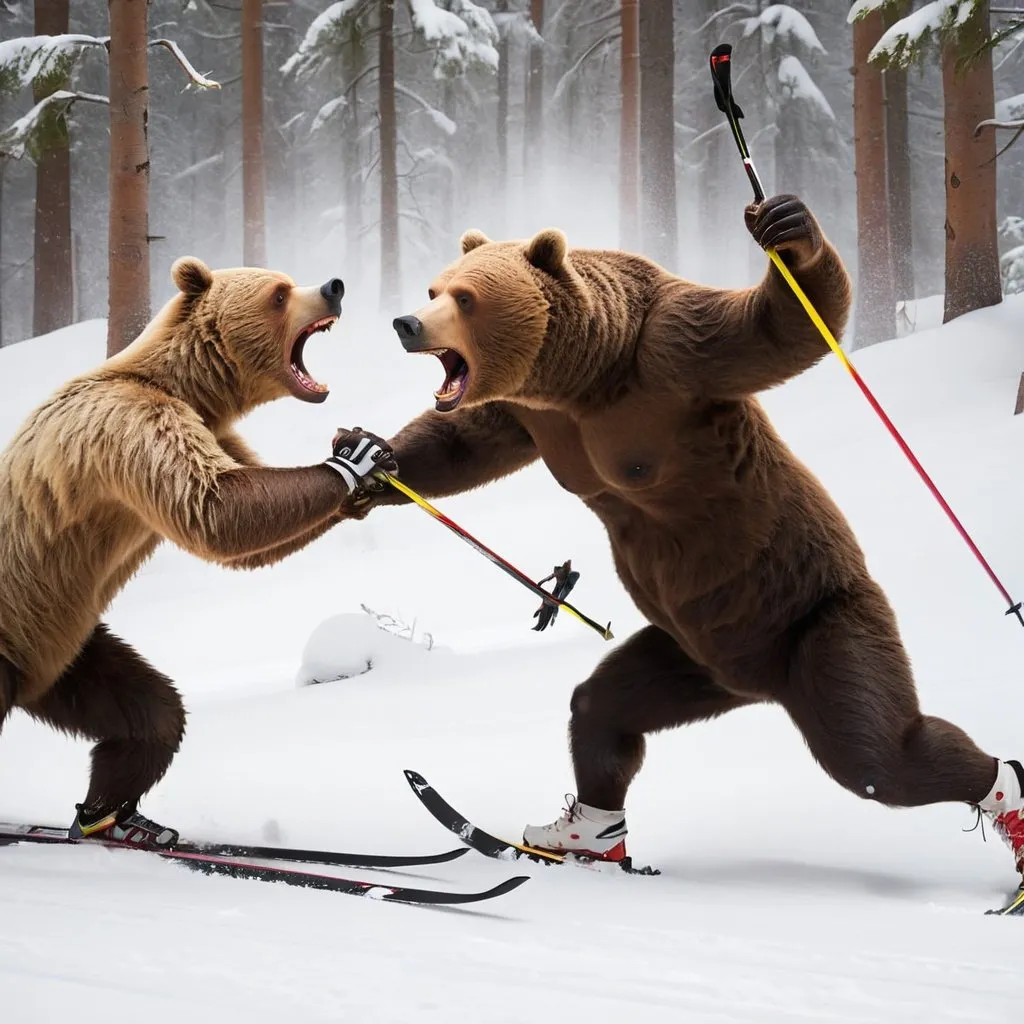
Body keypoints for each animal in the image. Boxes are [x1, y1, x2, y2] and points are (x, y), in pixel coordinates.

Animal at [0, 258, 395, 847]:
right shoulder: (134, 428)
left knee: (147, 713)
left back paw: (108, 818)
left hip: (65, 643)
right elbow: (217, 508)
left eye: (288, 280)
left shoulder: (213, 432)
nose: (333, 287)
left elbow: (250, 525)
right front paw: (356, 459)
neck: (180, 383)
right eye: (279, 292)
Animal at [376, 193, 1024, 880]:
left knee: (876, 752)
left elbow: (776, 330)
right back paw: (583, 837)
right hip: (691, 652)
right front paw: (368, 459)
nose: (407, 322)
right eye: (434, 288)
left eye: (466, 297)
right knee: (605, 707)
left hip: (814, 619)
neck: (583, 375)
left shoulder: (672, 358)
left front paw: (791, 235)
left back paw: (1004, 794)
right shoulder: (534, 416)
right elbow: (471, 441)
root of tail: (761, 683)